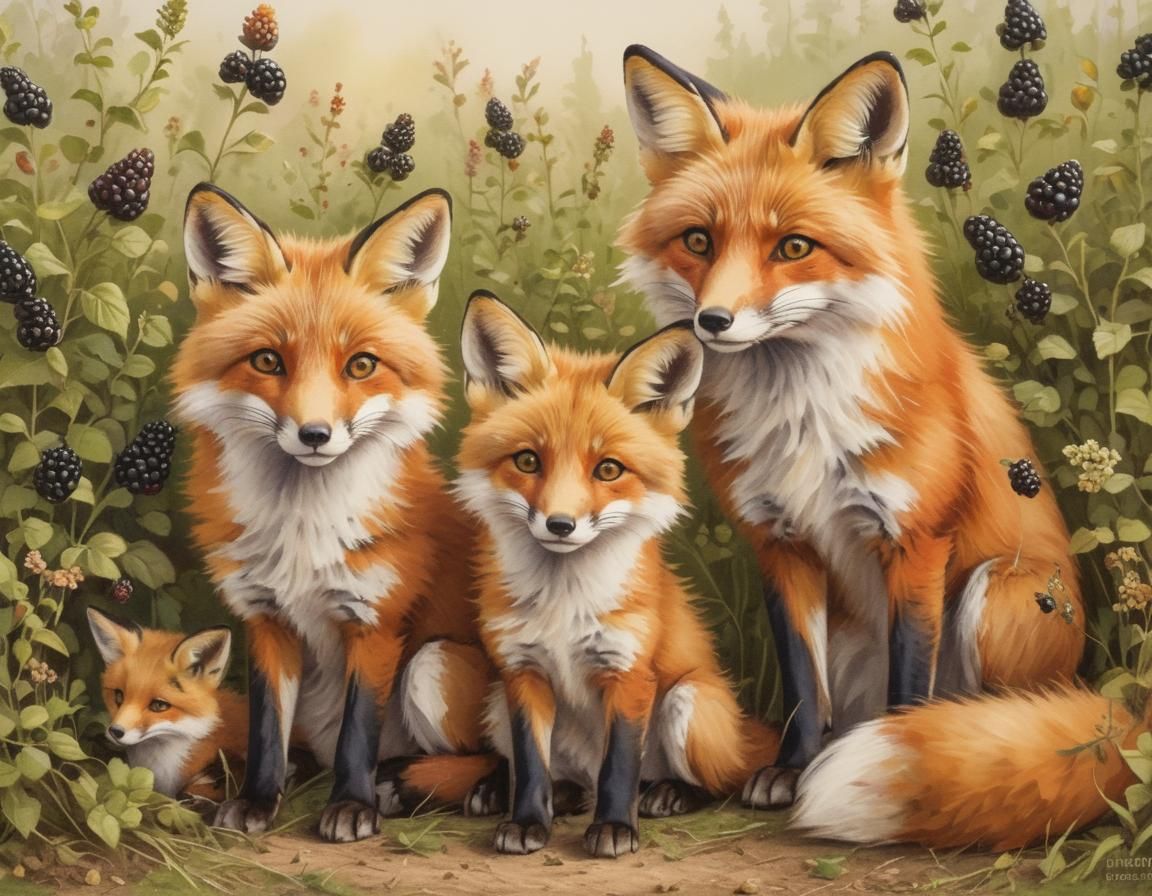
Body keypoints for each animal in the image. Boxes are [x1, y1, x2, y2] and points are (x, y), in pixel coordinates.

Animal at [170, 184, 491, 842]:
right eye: (268, 361)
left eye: (361, 365)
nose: (314, 435)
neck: (302, 529)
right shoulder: (265, 619)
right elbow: (267, 727)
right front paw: (257, 799)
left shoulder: (375, 622)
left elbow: (357, 734)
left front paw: (351, 806)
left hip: (433, 663)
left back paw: (419, 785)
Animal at [448, 291, 779, 858]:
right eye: (528, 461)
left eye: (608, 469)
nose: (560, 524)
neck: (562, 602)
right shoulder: (522, 672)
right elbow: (530, 764)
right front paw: (527, 821)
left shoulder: (628, 672)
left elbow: (619, 767)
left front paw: (615, 829)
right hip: (494, 703)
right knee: (567, 778)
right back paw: (524, 792)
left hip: (689, 706)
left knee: (717, 781)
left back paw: (669, 793)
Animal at [616, 44, 1084, 825]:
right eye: (698, 241)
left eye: (793, 247)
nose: (711, 322)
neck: (801, 418)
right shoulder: (779, 544)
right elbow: (803, 682)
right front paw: (792, 768)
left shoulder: (915, 543)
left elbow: (910, 680)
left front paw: (911, 754)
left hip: (997, 595)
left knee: (1003, 714)